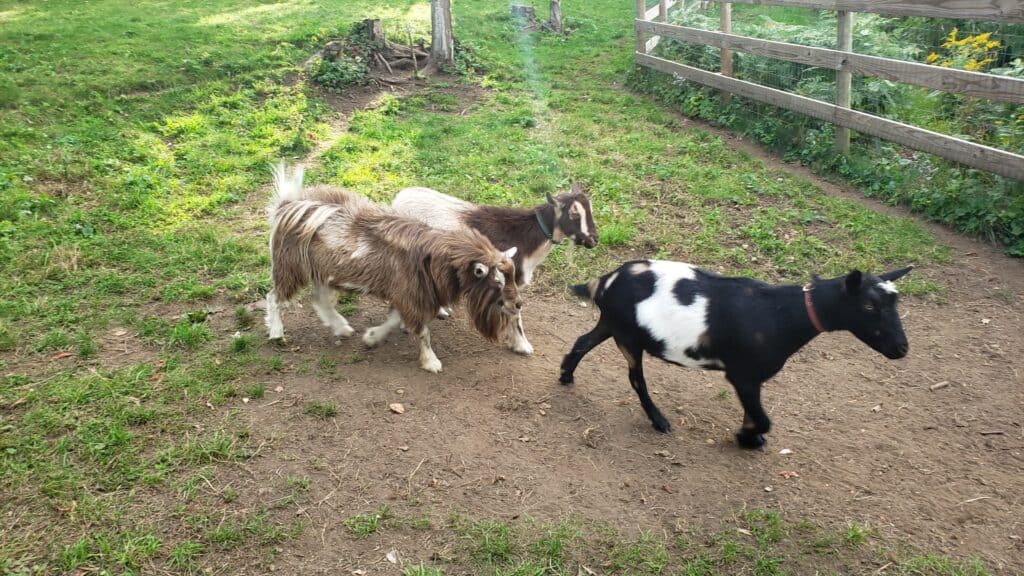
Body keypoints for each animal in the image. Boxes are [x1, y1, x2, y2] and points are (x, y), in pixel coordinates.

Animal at [266, 161, 520, 373]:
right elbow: (422, 331)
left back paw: (342, 328)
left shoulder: (406, 294)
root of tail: (286, 204)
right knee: (274, 296)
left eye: (512, 276)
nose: (518, 304)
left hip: (323, 272)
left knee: (320, 300)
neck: (434, 258)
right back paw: (277, 333)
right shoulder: (411, 294)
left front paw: (371, 337)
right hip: (290, 266)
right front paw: (431, 362)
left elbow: (396, 319)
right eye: (497, 282)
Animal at [391, 183, 598, 354]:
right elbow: (516, 314)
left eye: (590, 210)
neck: (524, 237)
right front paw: (522, 345)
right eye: (574, 214)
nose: (594, 240)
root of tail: (398, 199)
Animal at [561, 258, 913, 446]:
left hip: (613, 324)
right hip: (628, 337)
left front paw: (751, 437)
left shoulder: (751, 380)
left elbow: (754, 413)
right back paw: (659, 420)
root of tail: (606, 281)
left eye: (895, 303)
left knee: (581, 342)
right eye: (869, 306)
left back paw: (566, 376)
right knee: (636, 379)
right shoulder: (743, 375)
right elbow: (762, 419)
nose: (901, 348)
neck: (782, 314)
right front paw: (746, 438)